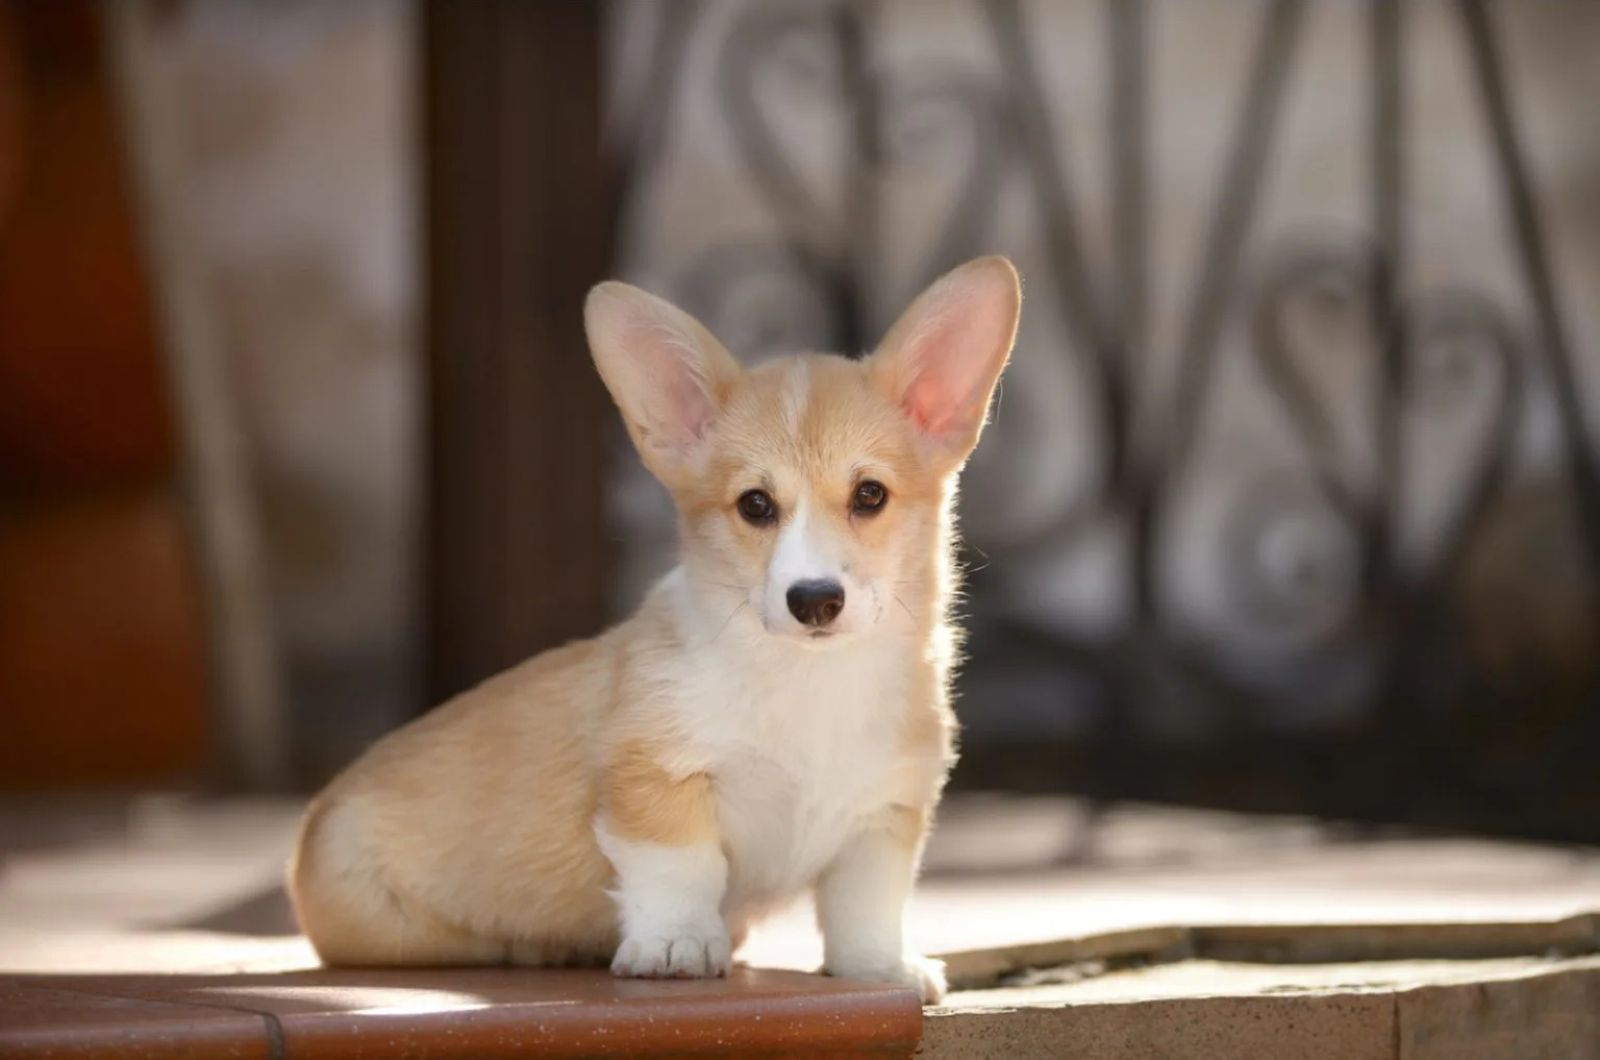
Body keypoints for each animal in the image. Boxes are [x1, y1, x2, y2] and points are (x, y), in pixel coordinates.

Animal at [289, 257, 1024, 1005]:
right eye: (755, 505)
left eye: (869, 494)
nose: (814, 600)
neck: (809, 681)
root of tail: (310, 827)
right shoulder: (656, 775)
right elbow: (682, 868)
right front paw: (677, 946)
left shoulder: (884, 815)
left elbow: (867, 901)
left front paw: (880, 967)